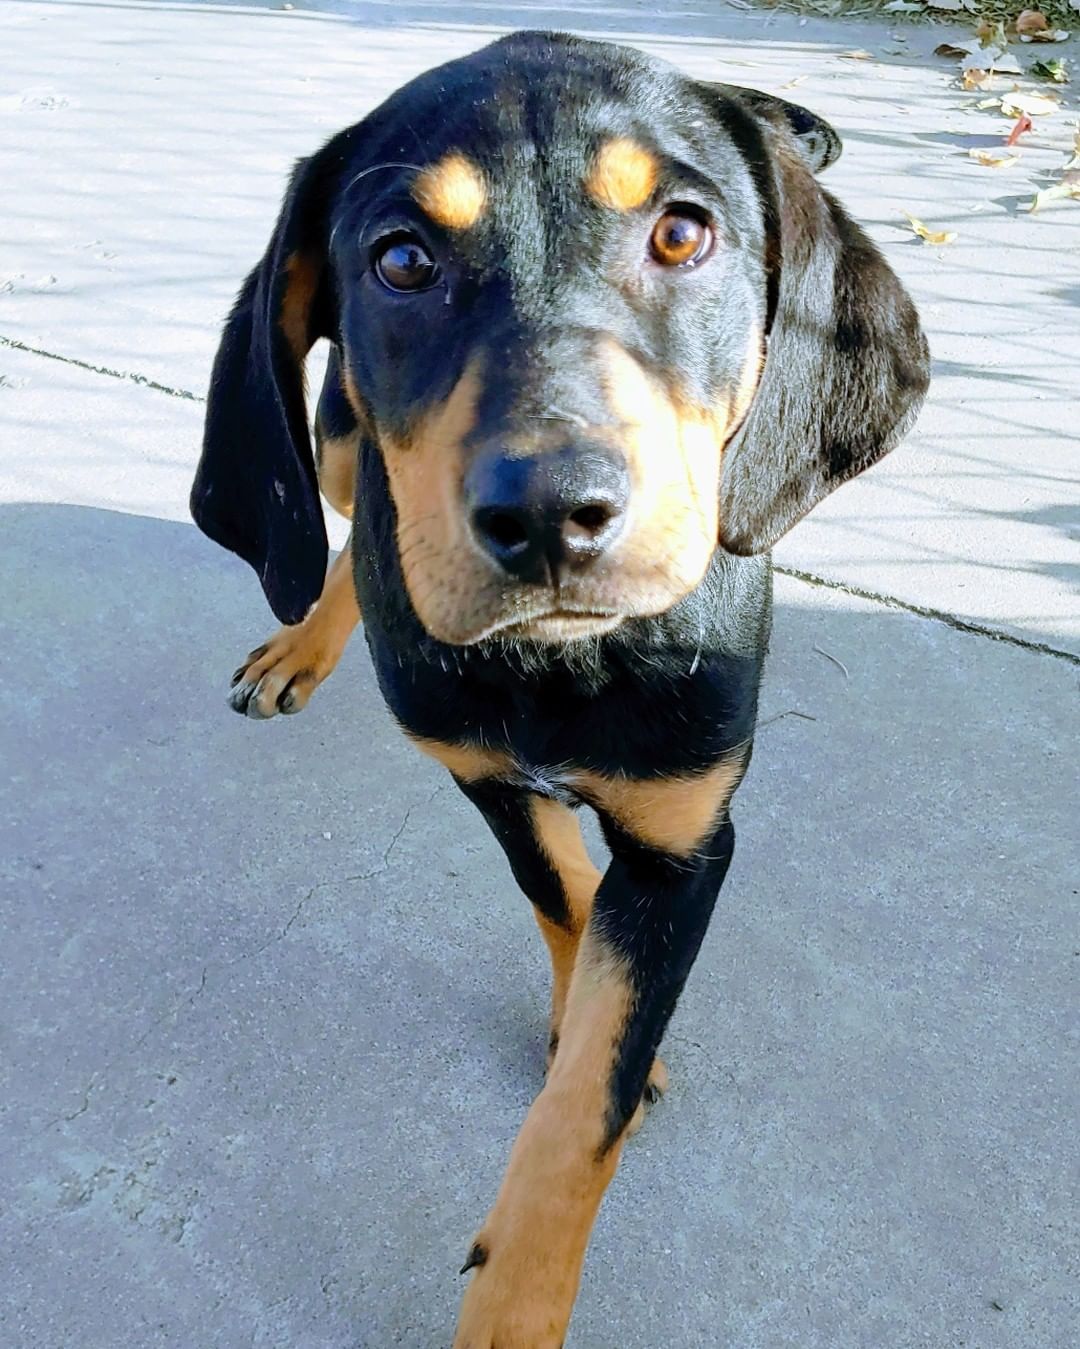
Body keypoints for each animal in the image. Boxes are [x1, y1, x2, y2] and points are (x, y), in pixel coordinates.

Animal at [187, 31, 927, 1349]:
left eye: (682, 233)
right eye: (402, 259)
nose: (547, 516)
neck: (567, 660)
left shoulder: (689, 838)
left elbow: (590, 1096)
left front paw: (522, 1290)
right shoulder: (485, 774)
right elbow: (560, 894)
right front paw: (578, 984)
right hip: (334, 436)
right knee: (338, 529)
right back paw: (303, 643)